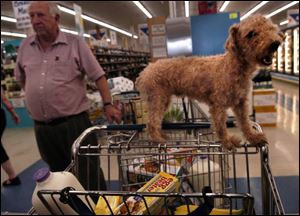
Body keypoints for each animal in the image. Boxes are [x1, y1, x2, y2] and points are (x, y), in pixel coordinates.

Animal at [136, 14, 284, 149]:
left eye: (271, 29)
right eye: (251, 34)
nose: (275, 43)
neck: (231, 66)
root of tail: (144, 71)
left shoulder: (241, 103)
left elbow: (245, 122)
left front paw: (253, 137)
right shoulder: (218, 105)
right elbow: (220, 126)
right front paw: (227, 141)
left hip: (164, 100)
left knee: (156, 121)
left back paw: (161, 135)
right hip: (157, 99)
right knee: (151, 122)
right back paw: (158, 140)